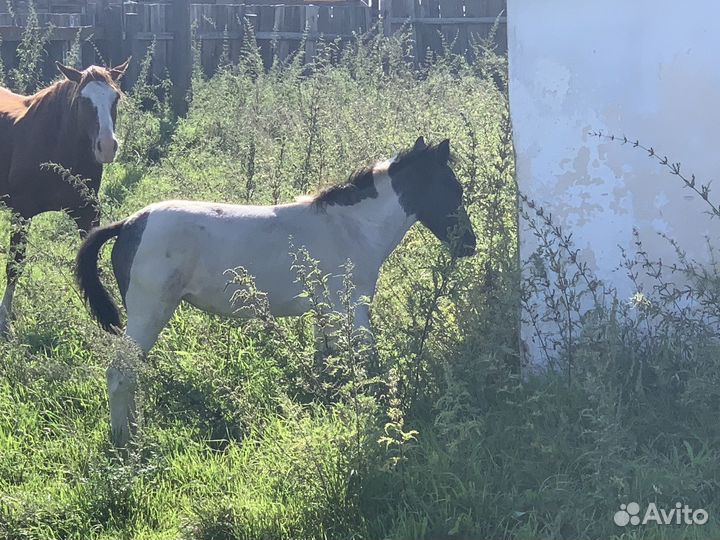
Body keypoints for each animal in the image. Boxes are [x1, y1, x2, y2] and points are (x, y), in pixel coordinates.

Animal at [0, 59, 130, 335]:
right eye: (83, 100)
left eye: (115, 98)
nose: (106, 146)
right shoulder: (21, 212)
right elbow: (15, 265)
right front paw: (4, 321)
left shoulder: (87, 213)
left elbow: (91, 261)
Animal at [75, 136, 477, 446]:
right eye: (453, 188)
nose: (470, 245)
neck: (351, 227)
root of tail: (129, 223)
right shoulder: (351, 311)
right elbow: (365, 364)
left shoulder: (325, 315)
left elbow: (327, 364)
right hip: (148, 314)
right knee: (120, 374)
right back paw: (126, 440)